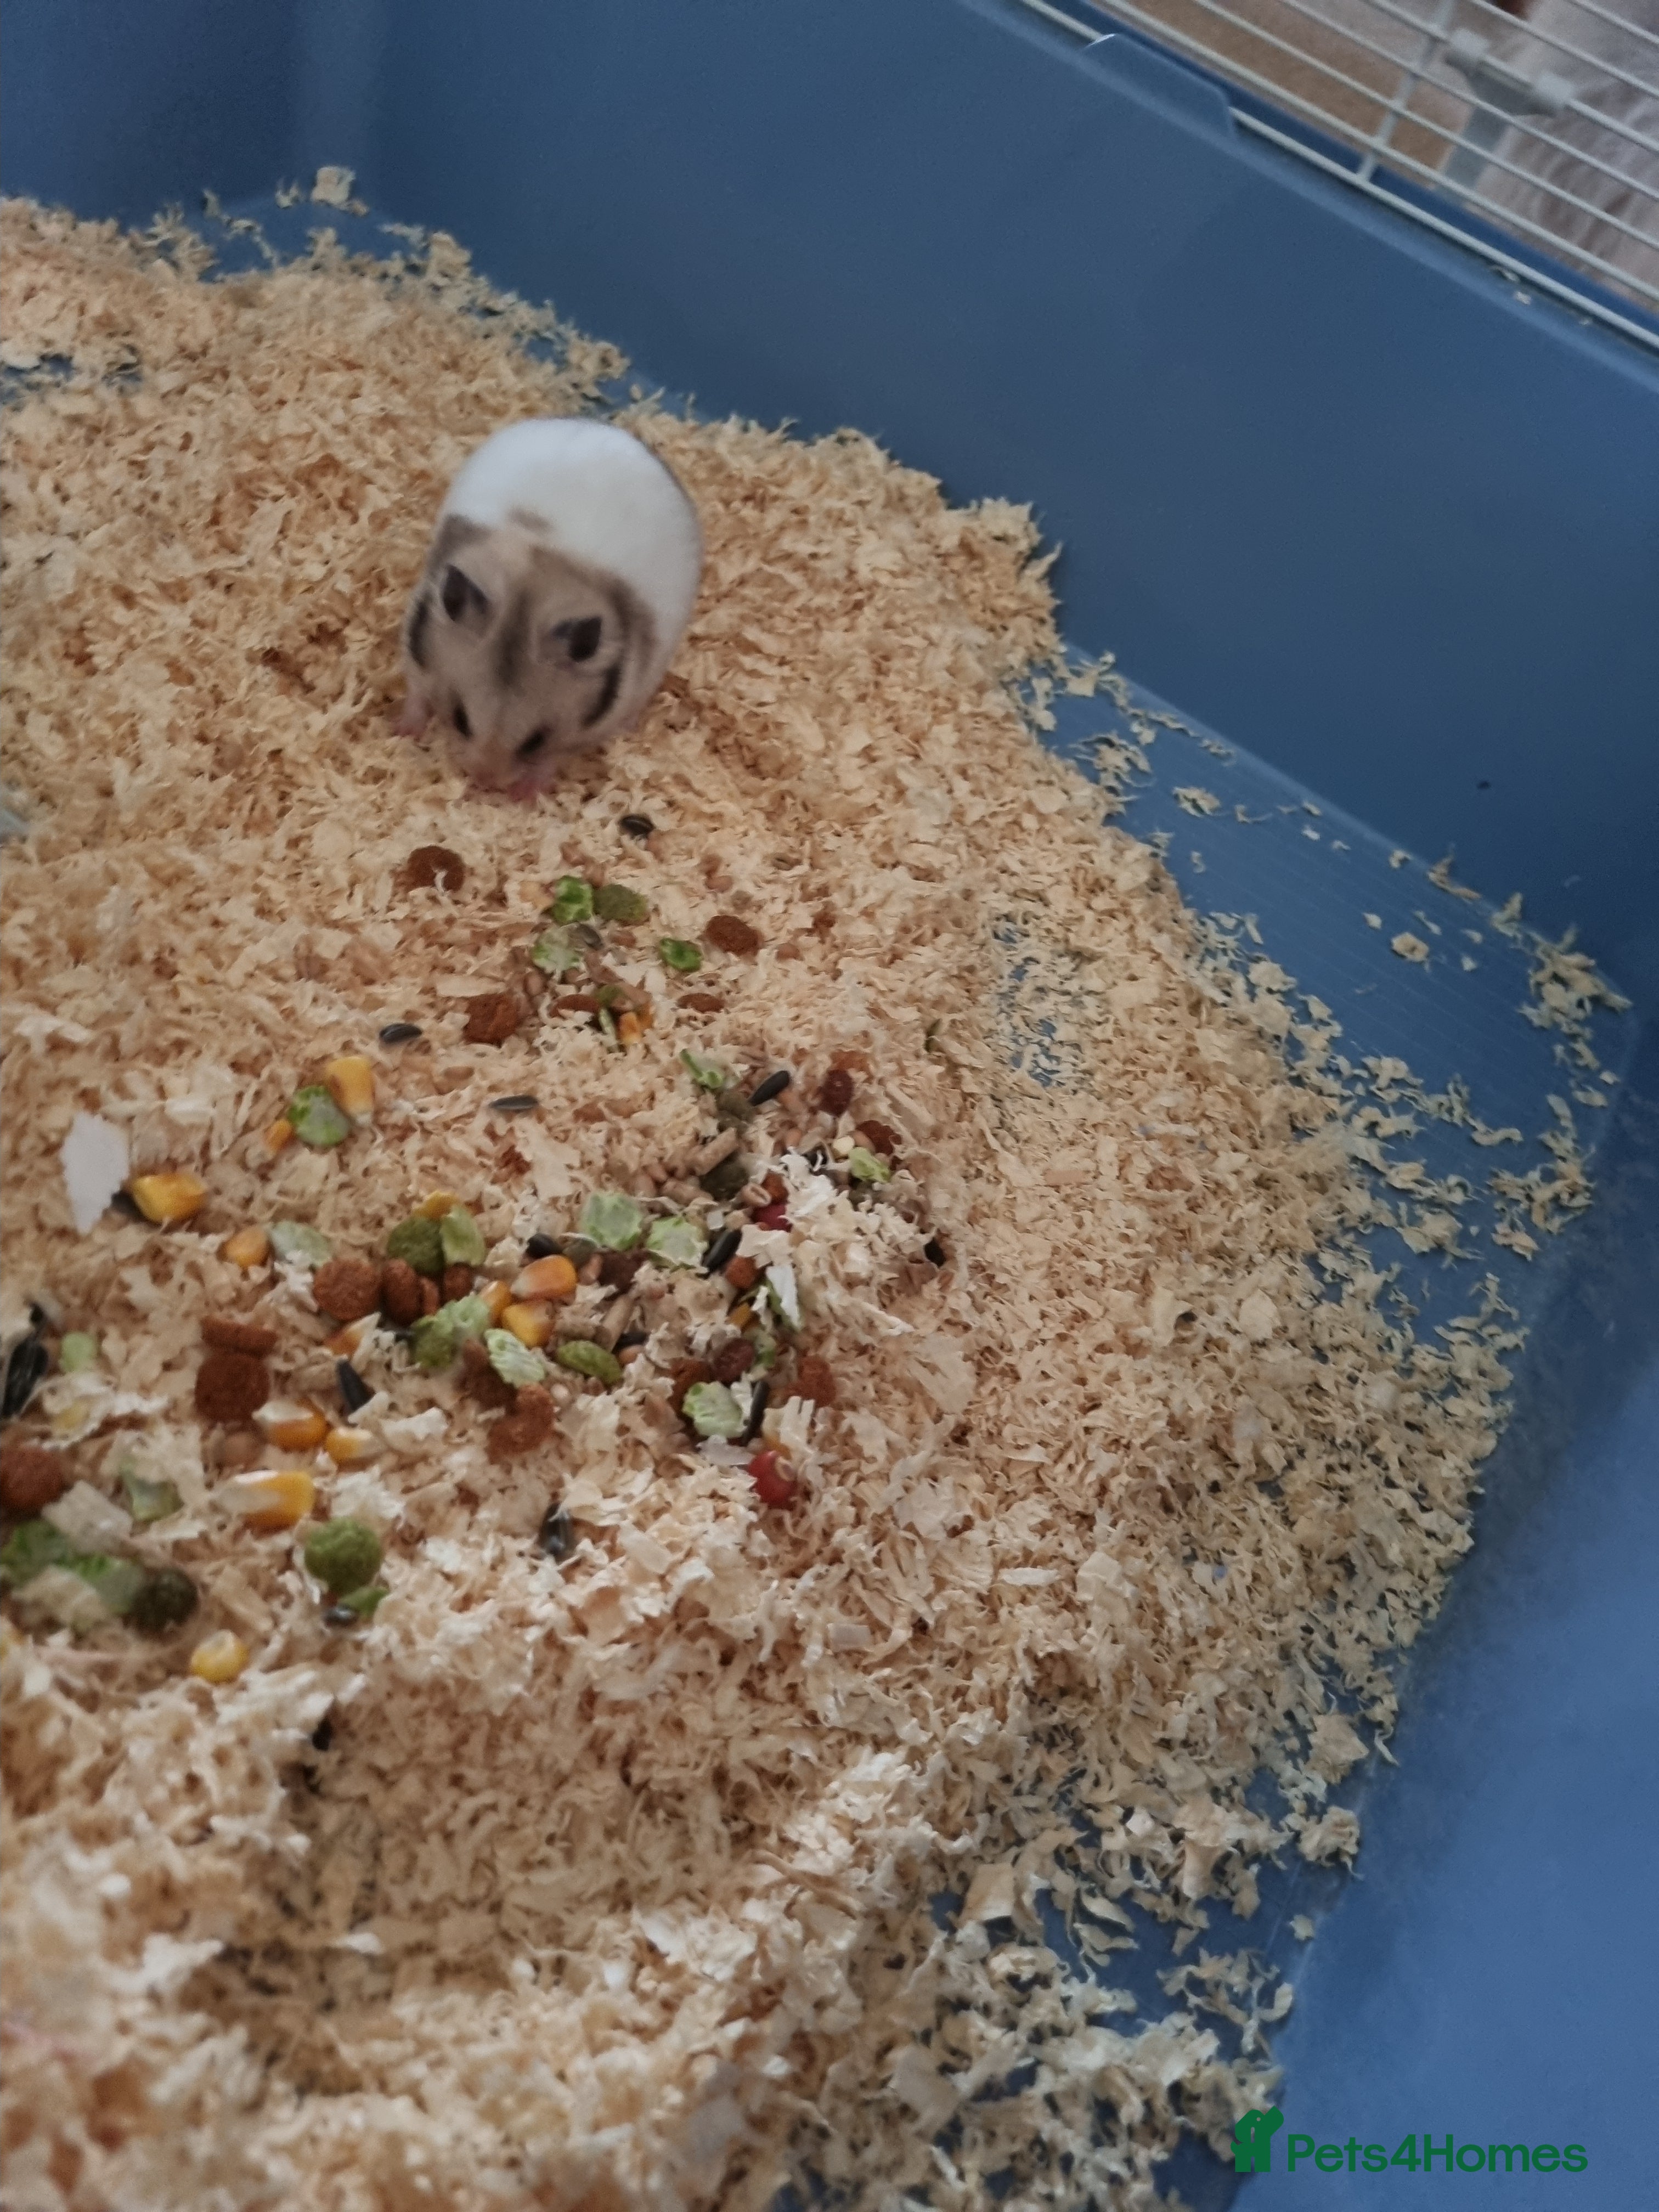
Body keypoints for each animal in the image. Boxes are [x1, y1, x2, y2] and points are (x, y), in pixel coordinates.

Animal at [397, 418, 702, 800]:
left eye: (535, 741)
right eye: (460, 718)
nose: (485, 781)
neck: (532, 590)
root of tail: (613, 430)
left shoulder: (585, 730)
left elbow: (556, 755)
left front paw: (525, 794)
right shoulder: (415, 650)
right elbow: (417, 694)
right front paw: (401, 731)